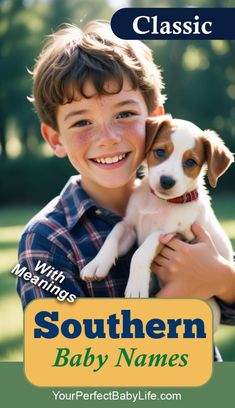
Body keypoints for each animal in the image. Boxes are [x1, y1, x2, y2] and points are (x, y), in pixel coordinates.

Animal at [80, 114, 233, 328]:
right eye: (160, 152)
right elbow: (112, 236)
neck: (158, 202)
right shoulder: (129, 226)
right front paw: (97, 263)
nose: (167, 181)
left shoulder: (171, 233)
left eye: (190, 162)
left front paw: (135, 287)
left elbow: (141, 253)